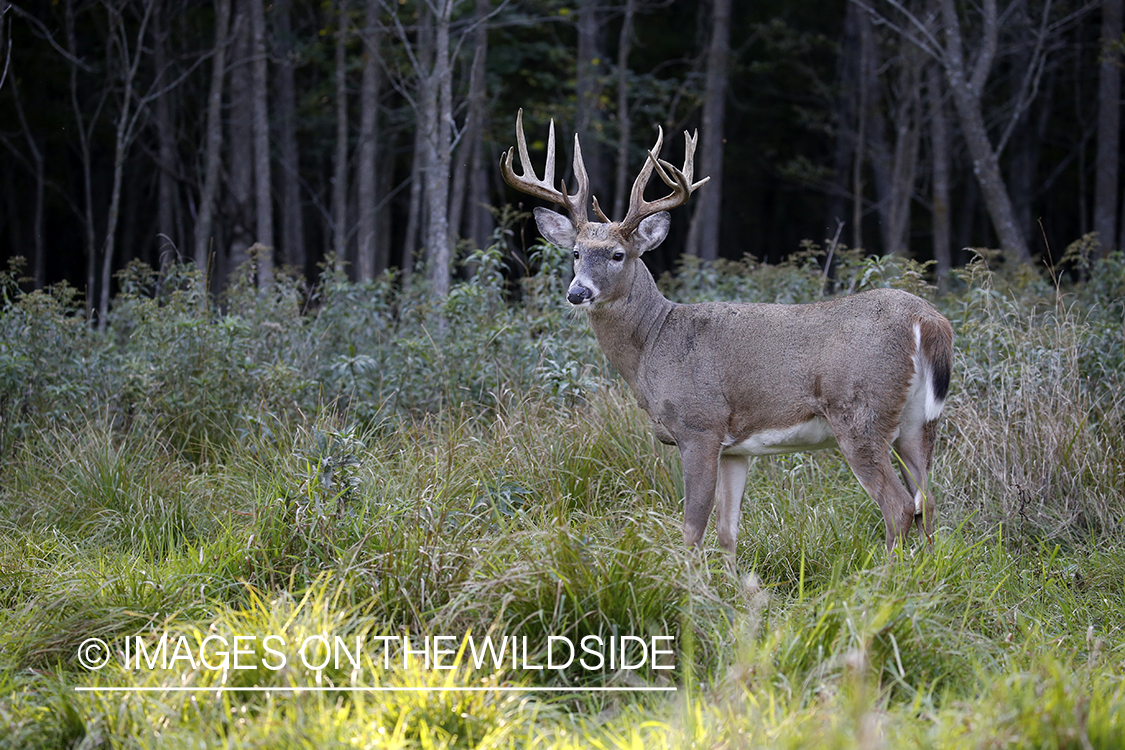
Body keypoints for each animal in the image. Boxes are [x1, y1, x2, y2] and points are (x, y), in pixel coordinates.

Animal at [499, 111, 949, 557]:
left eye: (617, 254)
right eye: (576, 253)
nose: (578, 292)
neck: (654, 342)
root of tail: (928, 321)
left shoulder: (700, 426)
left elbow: (692, 528)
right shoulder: (736, 448)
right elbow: (727, 531)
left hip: (860, 413)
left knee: (900, 505)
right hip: (917, 422)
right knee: (927, 503)